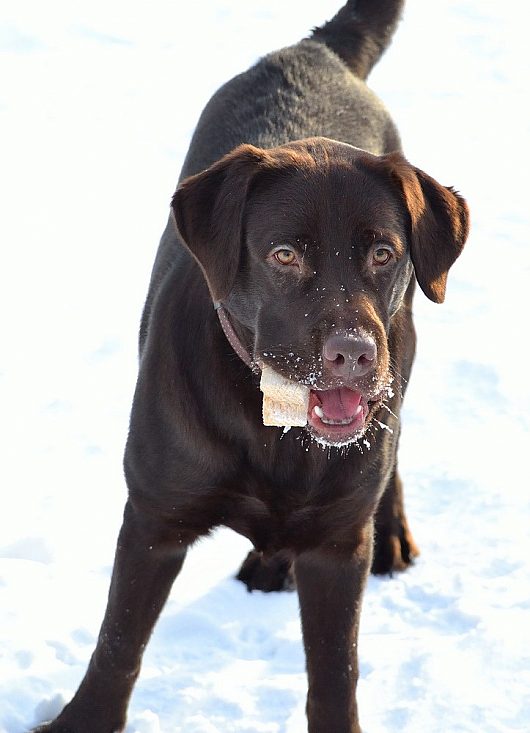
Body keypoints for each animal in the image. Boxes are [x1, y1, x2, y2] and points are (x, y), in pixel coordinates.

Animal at [35, 1, 468, 732]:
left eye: (382, 253)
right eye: (284, 254)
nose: (353, 352)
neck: (275, 424)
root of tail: (315, 49)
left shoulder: (337, 547)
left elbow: (335, 674)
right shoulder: (154, 516)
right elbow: (119, 643)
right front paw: (81, 720)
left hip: (401, 352)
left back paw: (387, 531)